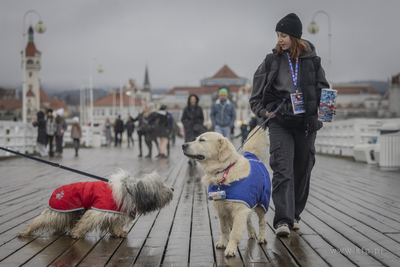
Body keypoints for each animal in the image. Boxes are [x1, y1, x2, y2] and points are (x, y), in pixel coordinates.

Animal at [17, 171, 173, 240]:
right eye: (161, 186)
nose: (172, 189)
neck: (129, 190)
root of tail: (57, 191)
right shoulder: (98, 210)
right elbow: (86, 221)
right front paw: (77, 233)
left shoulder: (116, 212)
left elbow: (115, 223)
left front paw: (118, 232)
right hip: (59, 210)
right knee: (40, 220)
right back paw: (25, 232)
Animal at [182, 127, 270, 258]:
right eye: (196, 139)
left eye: (202, 140)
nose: (183, 145)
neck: (223, 171)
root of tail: (252, 156)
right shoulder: (222, 210)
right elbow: (224, 229)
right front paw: (223, 242)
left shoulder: (240, 210)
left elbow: (235, 233)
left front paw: (230, 249)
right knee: (249, 219)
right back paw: (252, 232)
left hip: (261, 203)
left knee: (262, 221)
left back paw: (262, 237)